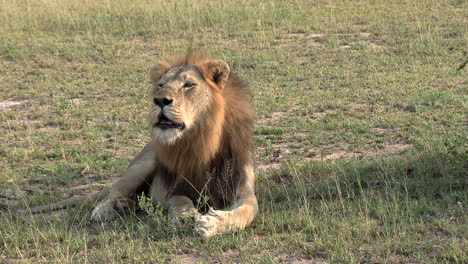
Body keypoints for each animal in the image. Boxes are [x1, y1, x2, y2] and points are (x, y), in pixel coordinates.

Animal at [18, 51, 258, 237]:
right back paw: (106, 210)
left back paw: (127, 206)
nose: (159, 100)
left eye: (188, 84)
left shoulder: (243, 190)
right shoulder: (163, 190)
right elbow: (180, 199)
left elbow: (247, 210)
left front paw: (213, 223)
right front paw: (186, 215)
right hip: (142, 165)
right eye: (161, 85)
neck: (199, 143)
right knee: (112, 192)